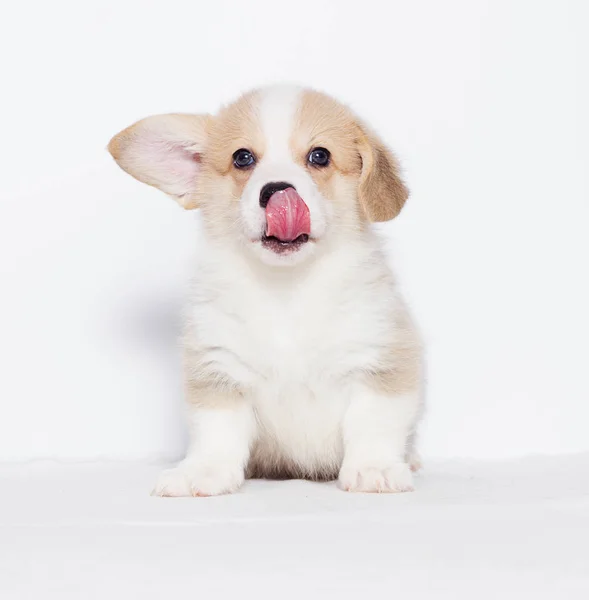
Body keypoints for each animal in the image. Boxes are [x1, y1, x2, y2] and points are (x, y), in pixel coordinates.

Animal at [108, 85, 422, 496]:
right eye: (243, 158)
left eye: (319, 155)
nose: (276, 191)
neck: (286, 291)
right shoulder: (219, 370)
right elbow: (217, 431)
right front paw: (202, 472)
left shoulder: (378, 362)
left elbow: (373, 422)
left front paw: (374, 468)